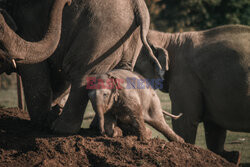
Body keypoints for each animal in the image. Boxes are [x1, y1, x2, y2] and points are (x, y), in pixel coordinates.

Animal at [0, 0, 162, 133]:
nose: (67, 2)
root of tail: (138, 5)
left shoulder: (28, 22)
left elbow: (35, 69)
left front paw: (43, 122)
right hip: (128, 41)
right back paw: (109, 130)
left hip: (99, 34)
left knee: (81, 73)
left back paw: (59, 128)